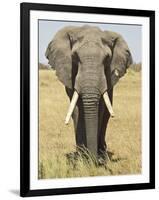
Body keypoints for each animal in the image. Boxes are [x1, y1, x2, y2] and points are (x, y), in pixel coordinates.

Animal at [45, 25, 132, 162]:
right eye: (75, 56)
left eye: (107, 58)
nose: (94, 160)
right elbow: (76, 109)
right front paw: (81, 157)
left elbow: (100, 108)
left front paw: (96, 158)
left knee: (106, 114)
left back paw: (102, 152)